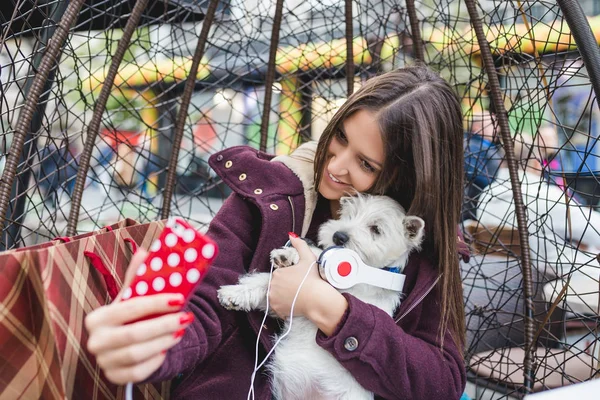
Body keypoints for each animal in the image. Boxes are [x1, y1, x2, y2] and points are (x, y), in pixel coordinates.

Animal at [218, 193, 424, 396]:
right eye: (349, 215)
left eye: (376, 229)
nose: (338, 236)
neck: (370, 272)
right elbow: (263, 281)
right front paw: (233, 294)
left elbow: (320, 259)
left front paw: (293, 254)